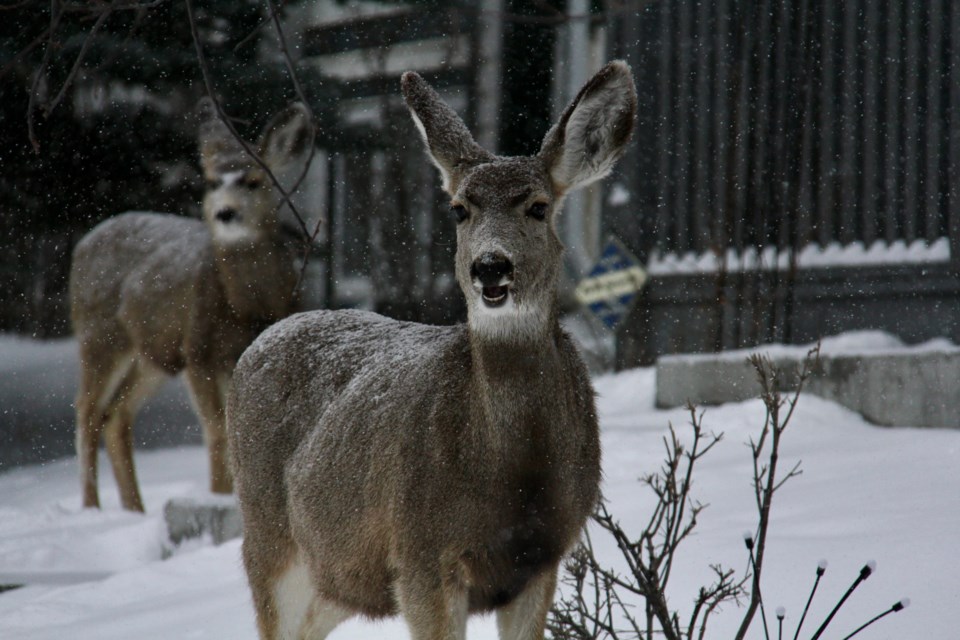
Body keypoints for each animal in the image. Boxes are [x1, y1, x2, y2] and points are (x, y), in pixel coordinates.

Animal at [71, 100, 312, 512]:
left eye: (253, 181)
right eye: (213, 182)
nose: (226, 213)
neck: (248, 308)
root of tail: (84, 242)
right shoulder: (199, 350)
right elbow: (216, 429)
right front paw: (218, 496)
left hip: (152, 354)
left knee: (117, 414)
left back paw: (135, 509)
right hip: (100, 336)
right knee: (87, 411)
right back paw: (92, 508)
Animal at [229, 61, 636, 640]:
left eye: (538, 207)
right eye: (460, 209)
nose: (491, 266)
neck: (514, 482)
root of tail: (260, 343)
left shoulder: (542, 560)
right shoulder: (420, 554)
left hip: (338, 572)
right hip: (268, 536)